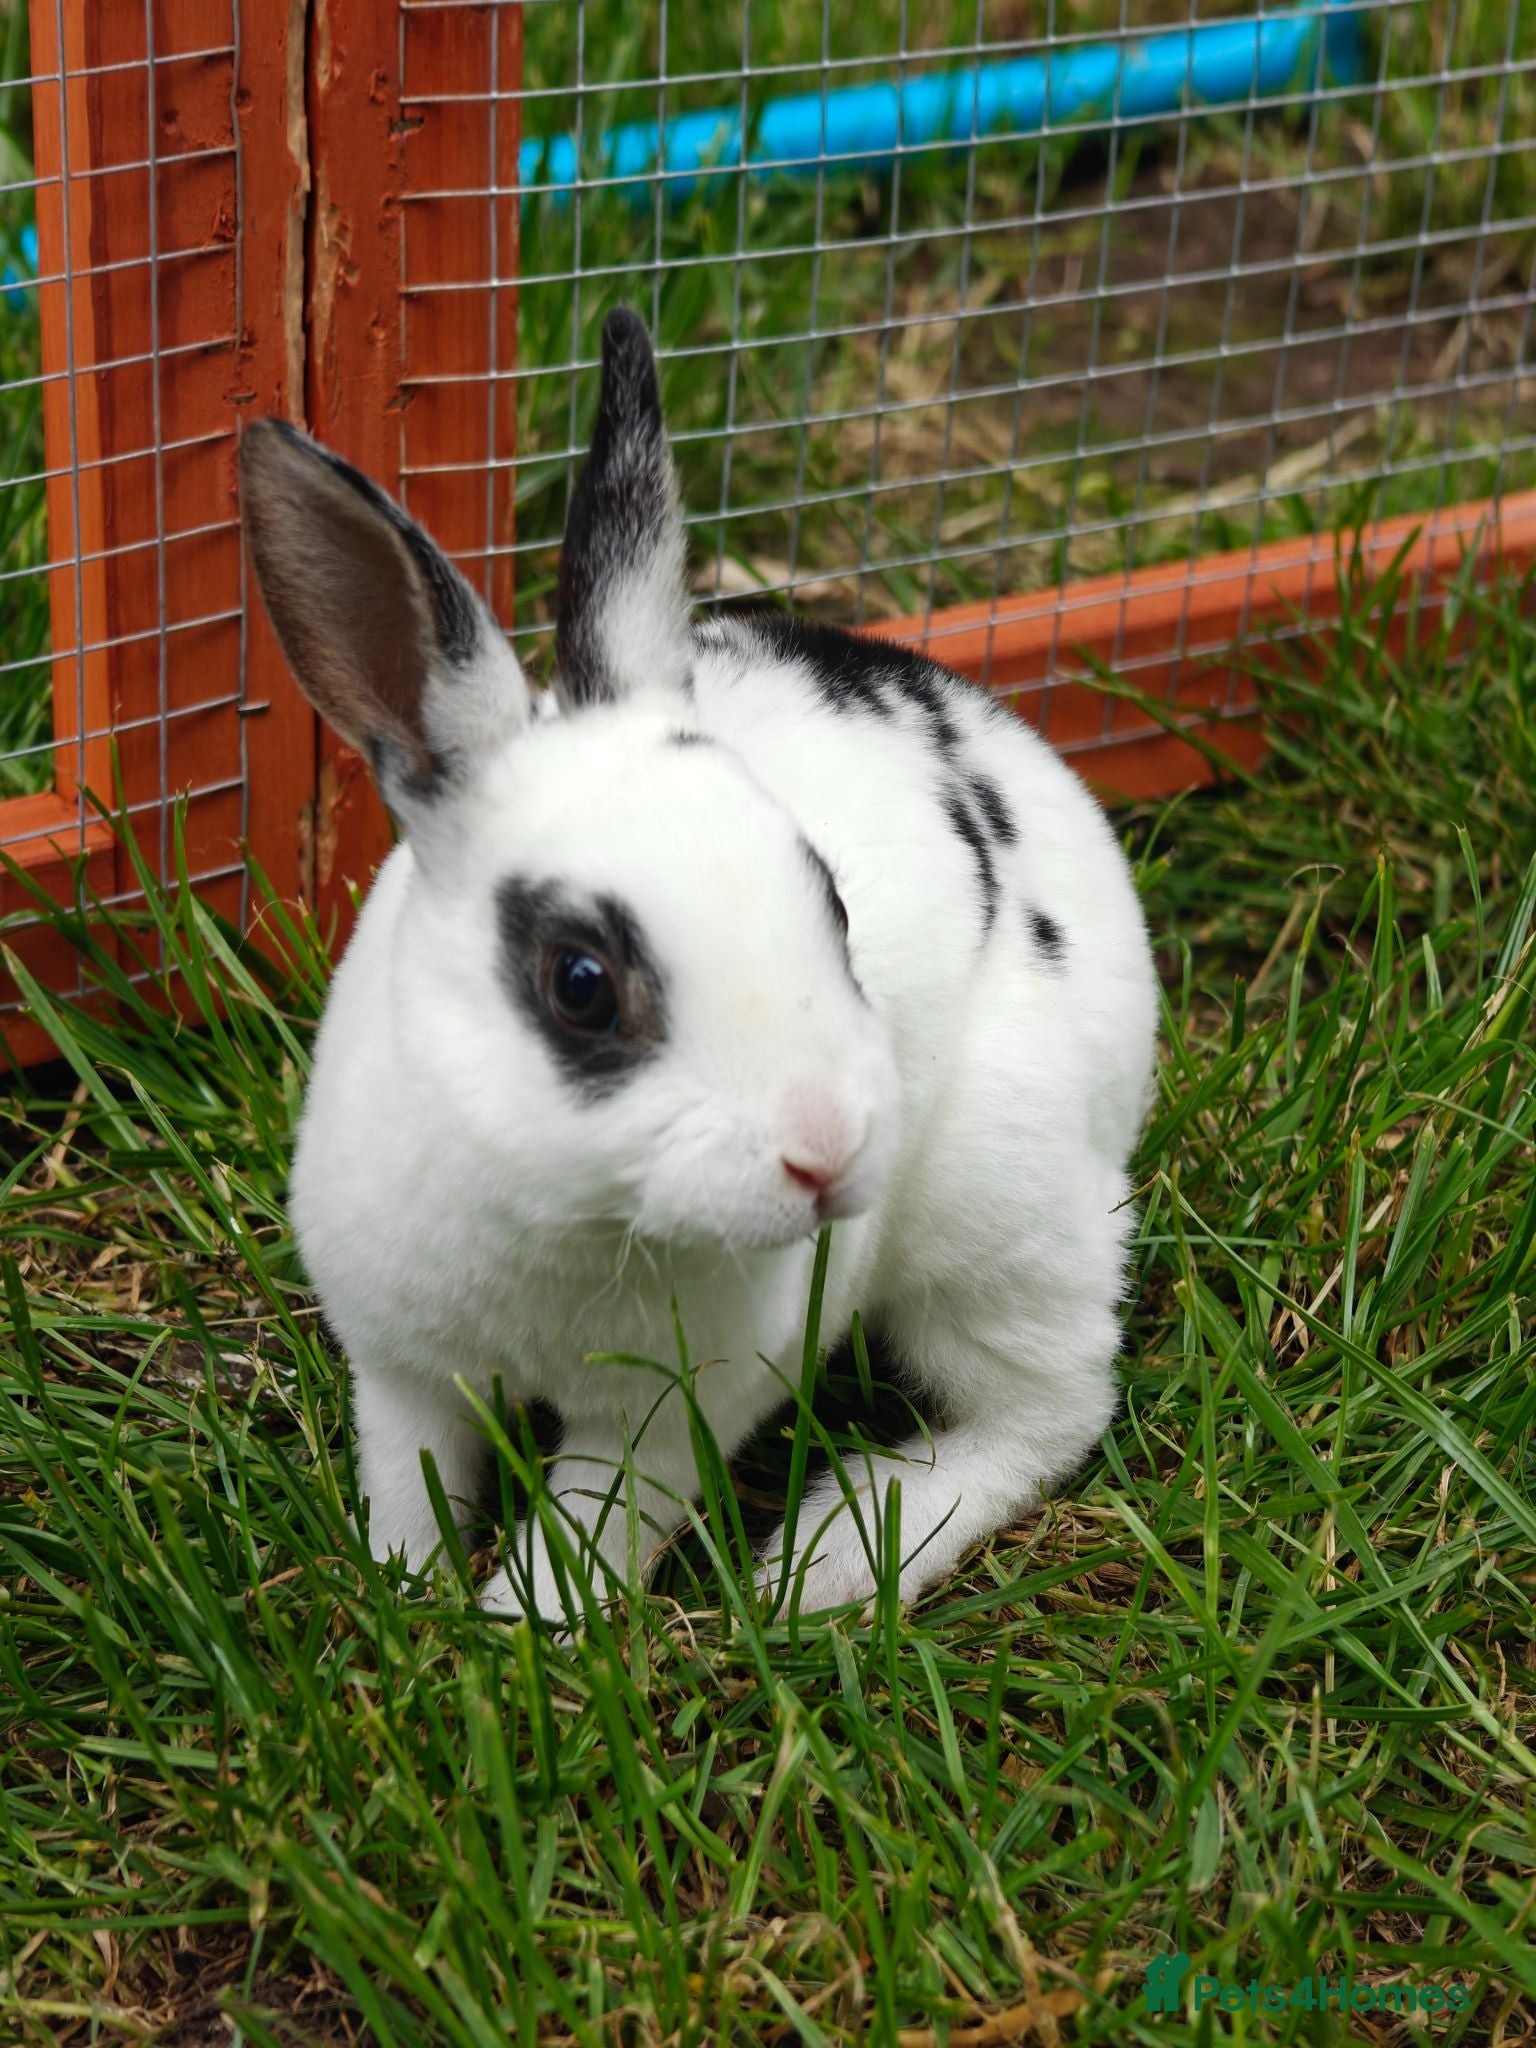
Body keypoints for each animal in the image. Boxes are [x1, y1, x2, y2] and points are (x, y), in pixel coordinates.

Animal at [238, 306, 1158, 1625]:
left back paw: (830, 1558)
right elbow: (413, 1477)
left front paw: (524, 1625)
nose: (828, 1154)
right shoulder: (401, 1364)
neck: (573, 1210)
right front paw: (406, 1587)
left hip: (1000, 1215)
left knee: (1051, 1412)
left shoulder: (671, 1415)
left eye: (830, 900)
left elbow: (595, 1522)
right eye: (580, 983)